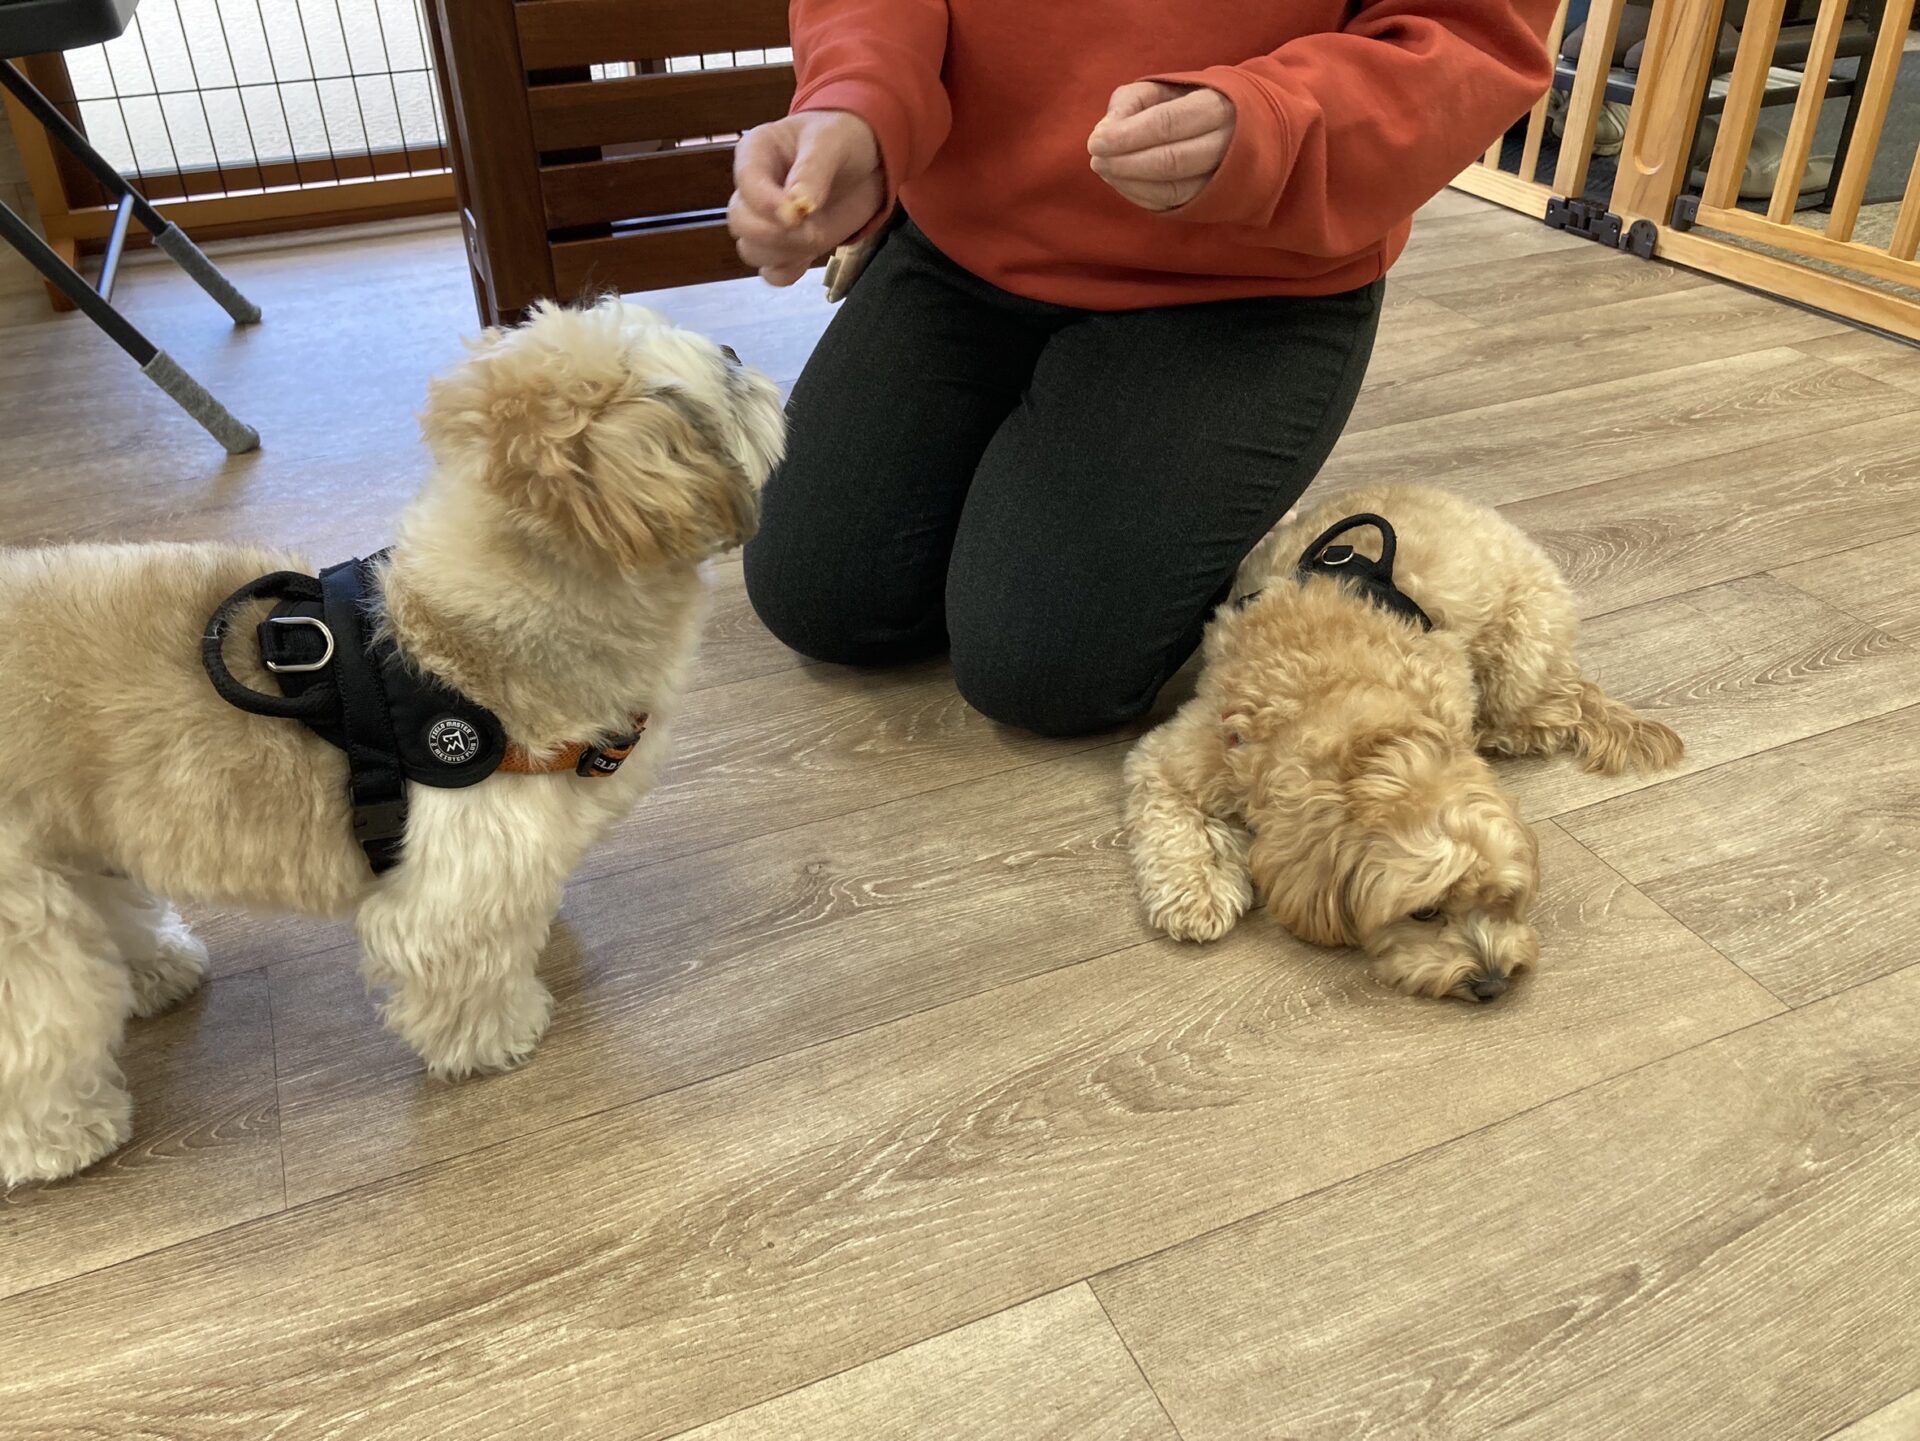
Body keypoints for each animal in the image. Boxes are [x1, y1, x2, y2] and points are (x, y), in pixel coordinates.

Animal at [0, 298, 786, 1185]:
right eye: (716, 383)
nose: (736, 348)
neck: (459, 642)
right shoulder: (449, 884)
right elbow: (465, 978)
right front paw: (499, 1035)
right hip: (19, 915)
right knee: (39, 1024)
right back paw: (63, 1138)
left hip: (71, 842)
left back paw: (157, 970)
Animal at [1125, 483, 1682, 1003]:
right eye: (1425, 912)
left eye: (1503, 899)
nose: (1493, 984)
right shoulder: (1181, 756)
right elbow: (1170, 824)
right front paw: (1196, 895)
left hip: (1520, 660)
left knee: (1555, 710)